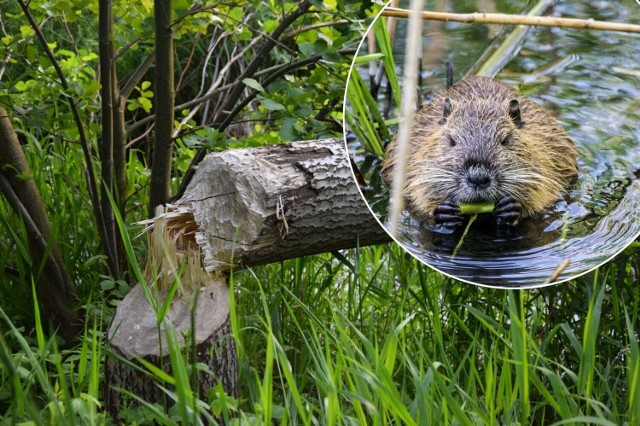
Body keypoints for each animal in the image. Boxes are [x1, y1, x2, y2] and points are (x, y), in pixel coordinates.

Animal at [382, 76, 576, 230]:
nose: (478, 178)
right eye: (451, 140)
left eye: (505, 139)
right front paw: (445, 212)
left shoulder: (548, 152)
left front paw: (511, 208)